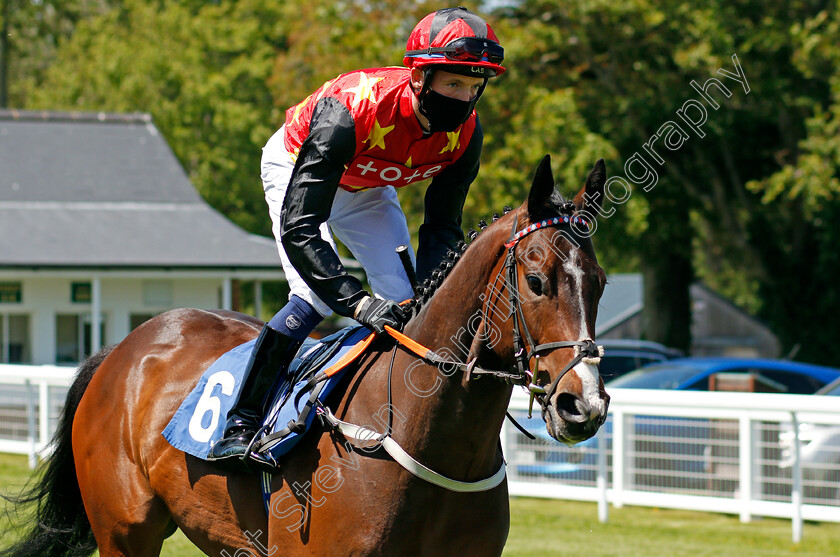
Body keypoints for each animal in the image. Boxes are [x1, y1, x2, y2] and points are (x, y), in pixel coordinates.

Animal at [0, 154, 604, 552]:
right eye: (536, 281)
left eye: (597, 283)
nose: (585, 405)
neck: (425, 439)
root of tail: (124, 347)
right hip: (124, 532)